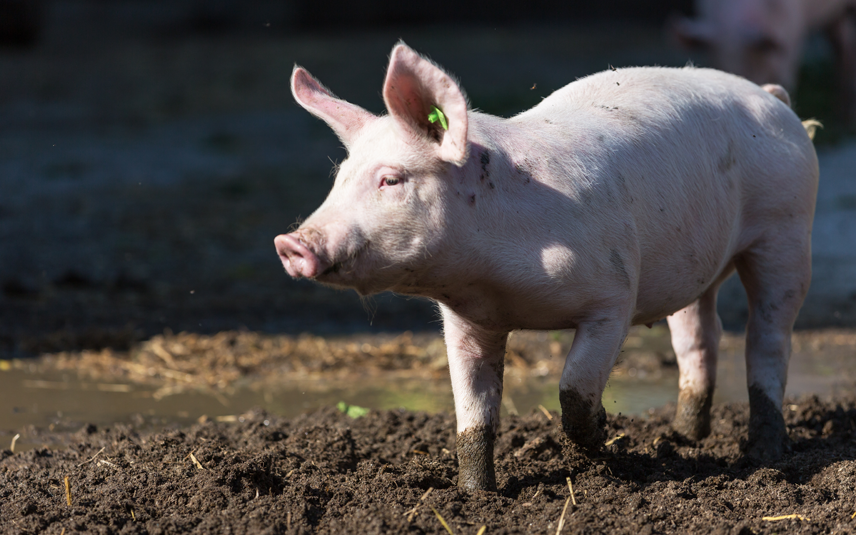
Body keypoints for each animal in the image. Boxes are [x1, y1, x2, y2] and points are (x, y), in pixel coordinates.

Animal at [278, 44, 820, 492]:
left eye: (391, 179)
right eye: (339, 179)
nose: (291, 242)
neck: (493, 282)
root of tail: (772, 97)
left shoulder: (614, 295)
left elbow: (574, 389)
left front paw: (603, 437)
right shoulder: (467, 320)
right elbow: (472, 411)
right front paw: (475, 494)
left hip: (787, 231)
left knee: (768, 338)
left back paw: (765, 454)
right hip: (693, 259)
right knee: (700, 336)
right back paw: (685, 438)